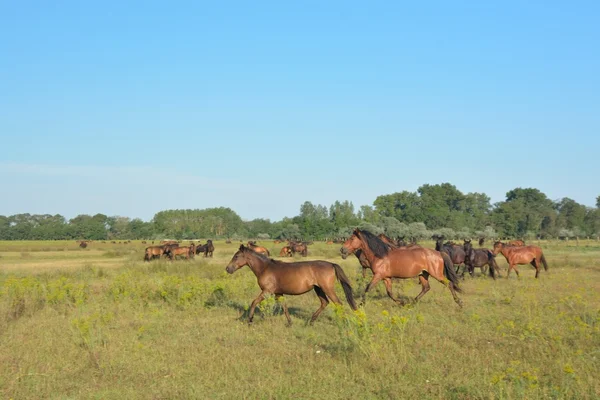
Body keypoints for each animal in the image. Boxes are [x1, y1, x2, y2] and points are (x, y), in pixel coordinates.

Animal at [225, 244, 356, 324]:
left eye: (236, 256)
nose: (228, 269)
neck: (265, 268)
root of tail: (331, 264)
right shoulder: (278, 293)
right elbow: (284, 307)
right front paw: (289, 322)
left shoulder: (267, 291)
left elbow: (254, 302)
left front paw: (250, 320)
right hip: (318, 289)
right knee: (325, 302)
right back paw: (311, 321)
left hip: (327, 288)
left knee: (338, 303)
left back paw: (343, 322)